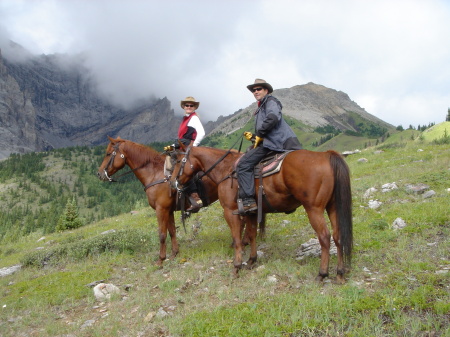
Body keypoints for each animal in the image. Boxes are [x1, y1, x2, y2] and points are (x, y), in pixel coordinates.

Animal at [96, 136, 218, 266]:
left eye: (108, 153)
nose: (99, 173)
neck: (155, 174)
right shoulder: (168, 211)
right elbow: (172, 231)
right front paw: (174, 254)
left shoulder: (161, 209)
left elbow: (162, 234)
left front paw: (161, 259)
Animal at [171, 143, 352, 282]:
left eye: (179, 160)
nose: (173, 183)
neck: (225, 170)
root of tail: (326, 155)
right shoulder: (251, 212)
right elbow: (251, 235)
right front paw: (251, 260)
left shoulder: (230, 211)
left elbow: (237, 239)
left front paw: (237, 267)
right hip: (332, 207)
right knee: (338, 236)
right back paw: (340, 273)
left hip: (314, 209)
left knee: (324, 237)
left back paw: (322, 274)